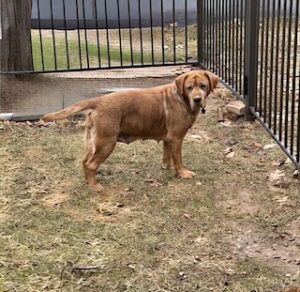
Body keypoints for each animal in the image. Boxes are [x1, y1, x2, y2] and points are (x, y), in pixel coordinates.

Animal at [41, 69, 218, 190]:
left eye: (203, 86)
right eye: (189, 87)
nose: (197, 99)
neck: (182, 98)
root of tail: (99, 100)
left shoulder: (168, 139)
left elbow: (167, 156)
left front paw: (166, 168)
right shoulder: (176, 138)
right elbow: (178, 159)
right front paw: (182, 173)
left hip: (92, 141)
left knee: (84, 161)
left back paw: (88, 182)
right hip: (106, 143)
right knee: (91, 164)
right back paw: (96, 187)